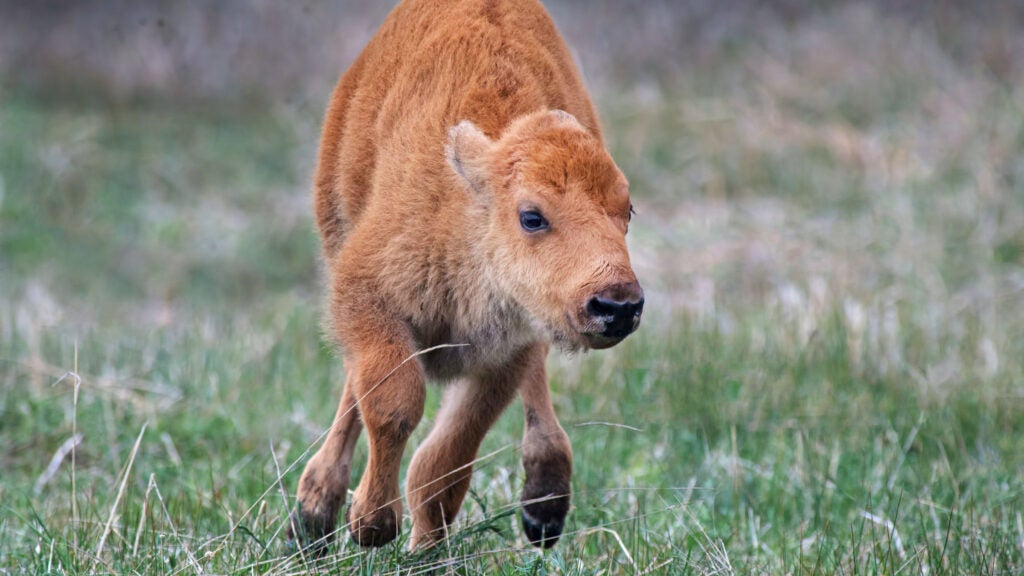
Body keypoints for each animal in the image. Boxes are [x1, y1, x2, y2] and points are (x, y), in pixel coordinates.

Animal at [292, 0, 638, 549]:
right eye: (532, 216)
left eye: (628, 211)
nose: (618, 305)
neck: (469, 206)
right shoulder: (366, 295)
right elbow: (393, 401)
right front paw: (372, 524)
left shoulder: (506, 351)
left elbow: (444, 460)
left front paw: (422, 546)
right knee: (354, 386)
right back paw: (313, 512)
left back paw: (544, 505)